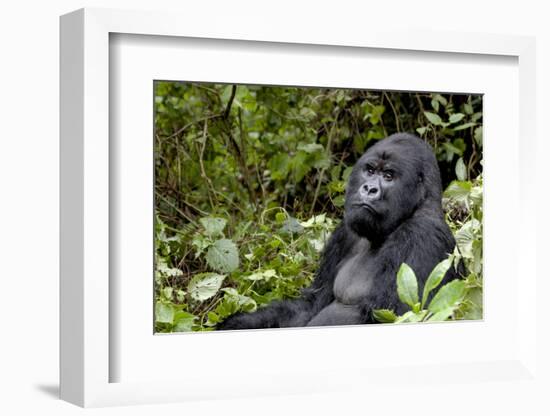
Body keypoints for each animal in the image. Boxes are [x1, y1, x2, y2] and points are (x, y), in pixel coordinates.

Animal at [218, 132, 460, 328]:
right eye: (370, 170)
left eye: (389, 176)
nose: (369, 189)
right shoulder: (345, 232)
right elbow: (310, 305)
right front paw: (235, 323)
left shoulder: (422, 235)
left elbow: (403, 314)